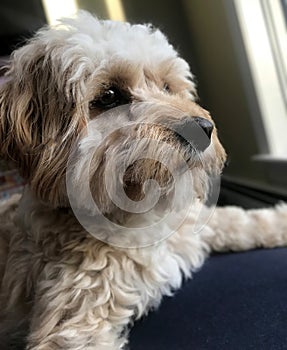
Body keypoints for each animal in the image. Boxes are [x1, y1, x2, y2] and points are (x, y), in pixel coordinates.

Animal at [0, 10, 287, 350]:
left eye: (166, 86)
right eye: (109, 96)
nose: (203, 129)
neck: (138, 217)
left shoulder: (189, 226)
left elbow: (239, 221)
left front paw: (280, 221)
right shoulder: (73, 324)